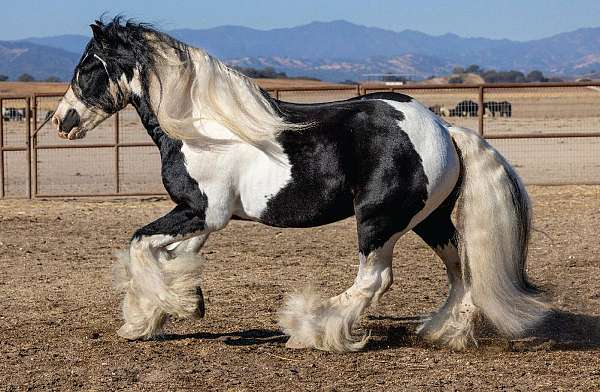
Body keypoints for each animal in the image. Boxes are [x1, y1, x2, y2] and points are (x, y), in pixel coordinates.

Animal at [52, 18, 548, 354]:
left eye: (86, 66)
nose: (62, 121)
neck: (201, 128)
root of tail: (444, 128)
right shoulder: (203, 220)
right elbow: (172, 258)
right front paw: (164, 312)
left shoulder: (201, 212)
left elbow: (139, 244)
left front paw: (166, 309)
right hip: (429, 220)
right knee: (460, 268)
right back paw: (444, 331)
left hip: (379, 221)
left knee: (374, 280)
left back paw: (311, 328)